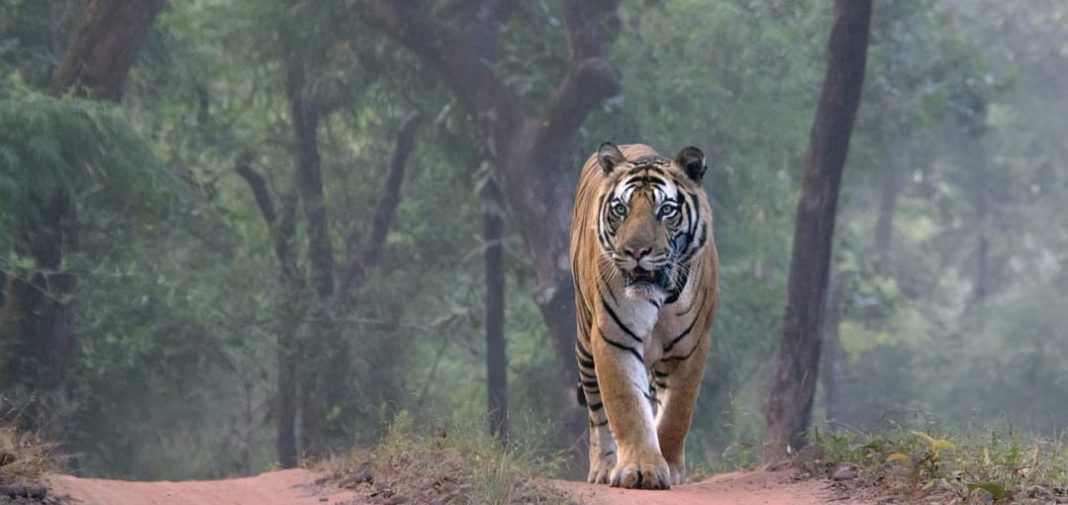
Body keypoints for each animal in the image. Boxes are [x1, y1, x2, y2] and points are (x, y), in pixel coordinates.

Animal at [571, 142, 719, 489]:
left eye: (666, 210)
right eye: (620, 209)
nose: (636, 251)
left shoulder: (690, 348)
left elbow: (676, 412)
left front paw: (670, 468)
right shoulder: (614, 339)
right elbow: (627, 407)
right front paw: (641, 469)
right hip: (584, 341)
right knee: (598, 412)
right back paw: (603, 467)